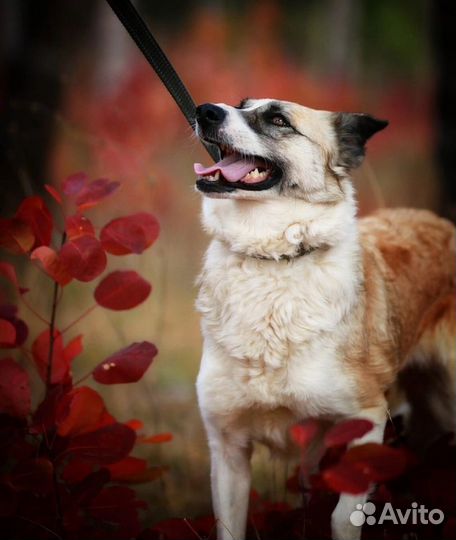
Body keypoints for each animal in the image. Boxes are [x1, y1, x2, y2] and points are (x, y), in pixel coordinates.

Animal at [192, 98, 456, 540]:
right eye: (241, 105)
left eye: (278, 119)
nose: (205, 110)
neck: (273, 260)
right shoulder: (228, 447)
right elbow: (229, 523)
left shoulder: (367, 416)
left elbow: (342, 516)